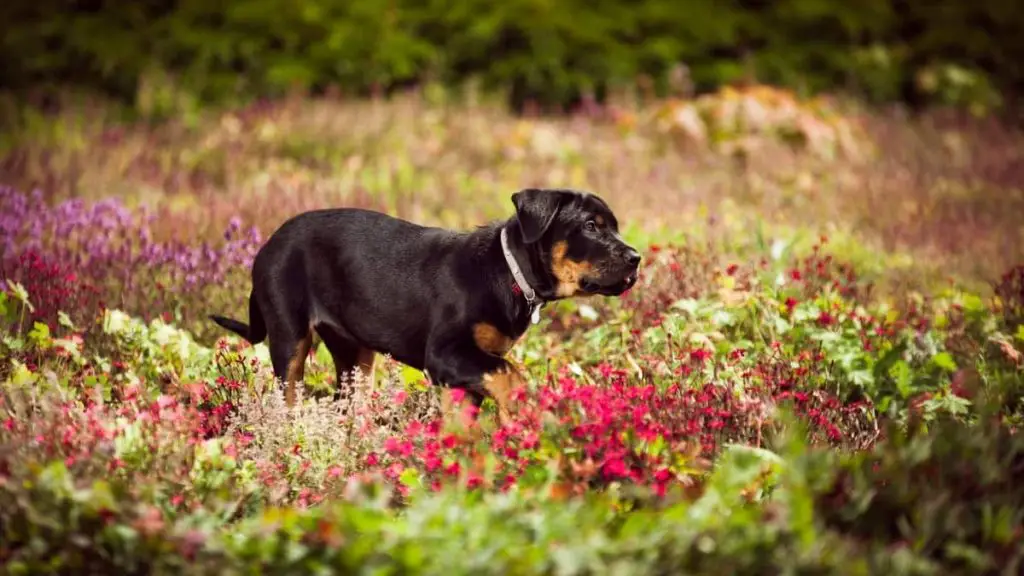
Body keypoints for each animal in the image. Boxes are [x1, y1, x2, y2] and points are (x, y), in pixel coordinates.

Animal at [208, 187, 638, 422]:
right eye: (591, 226)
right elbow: (511, 373)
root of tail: (265, 246)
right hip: (290, 338)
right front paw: (523, 410)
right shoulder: (445, 354)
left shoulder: (462, 373)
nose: (636, 259)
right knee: (289, 397)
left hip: (354, 354)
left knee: (346, 402)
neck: (507, 270)